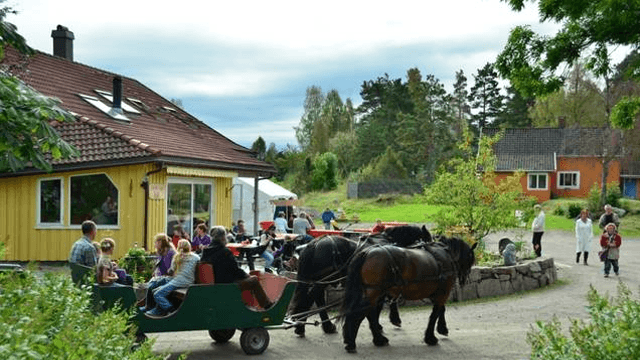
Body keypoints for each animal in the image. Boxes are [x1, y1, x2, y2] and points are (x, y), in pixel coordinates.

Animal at [288, 225, 430, 338]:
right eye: (428, 241)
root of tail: (315, 243)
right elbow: (385, 302)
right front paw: (388, 321)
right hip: (324, 279)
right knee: (310, 299)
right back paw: (301, 326)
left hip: (319, 281)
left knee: (317, 298)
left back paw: (325, 326)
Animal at [340, 236, 476, 352]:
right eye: (471, 259)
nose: (464, 279)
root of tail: (367, 252)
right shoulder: (443, 293)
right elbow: (435, 314)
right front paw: (430, 337)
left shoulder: (437, 293)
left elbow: (441, 310)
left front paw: (442, 328)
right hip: (375, 291)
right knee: (363, 313)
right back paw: (353, 343)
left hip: (373, 292)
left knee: (369, 313)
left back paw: (375, 339)